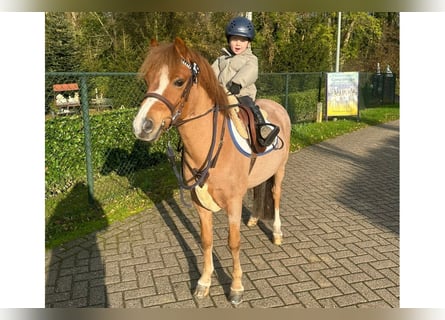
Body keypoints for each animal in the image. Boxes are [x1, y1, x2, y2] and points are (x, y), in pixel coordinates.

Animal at [133, 37, 292, 304]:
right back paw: (254, 218)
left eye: (179, 81)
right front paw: (204, 282)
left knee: (276, 195)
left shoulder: (233, 202)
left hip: (279, 170)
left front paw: (236, 287)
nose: (142, 126)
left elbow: (233, 243)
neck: (213, 142)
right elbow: (206, 242)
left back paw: (278, 233)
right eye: (147, 79)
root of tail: (278, 107)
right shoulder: (200, 204)